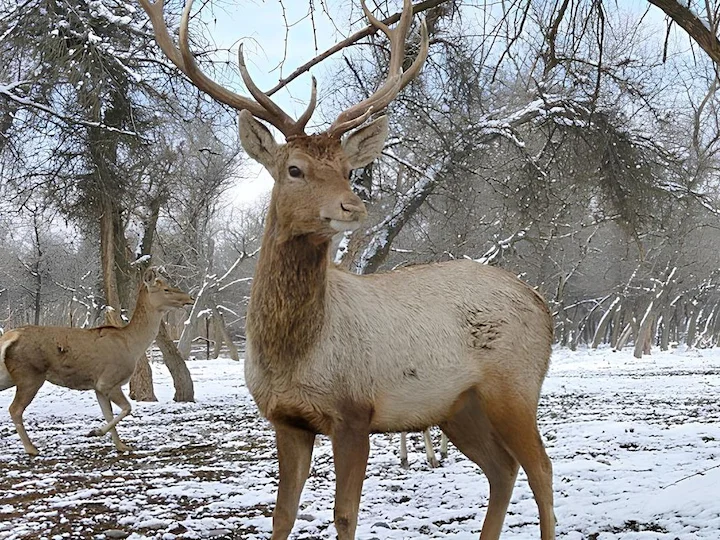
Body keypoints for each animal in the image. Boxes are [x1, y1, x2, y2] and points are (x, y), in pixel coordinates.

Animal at [0, 267, 193, 456]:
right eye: (165, 289)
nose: (189, 298)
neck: (131, 345)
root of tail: (10, 336)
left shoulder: (98, 387)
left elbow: (108, 414)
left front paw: (121, 446)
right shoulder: (108, 380)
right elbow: (127, 408)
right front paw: (95, 432)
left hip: (9, 375)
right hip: (30, 374)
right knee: (14, 409)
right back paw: (31, 448)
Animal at [138, 0, 555, 538]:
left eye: (346, 168)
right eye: (293, 168)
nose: (353, 206)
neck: (294, 355)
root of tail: (541, 303)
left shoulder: (355, 411)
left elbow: (345, 514)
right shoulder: (285, 419)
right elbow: (282, 514)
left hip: (514, 386)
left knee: (540, 467)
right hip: (459, 406)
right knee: (503, 468)